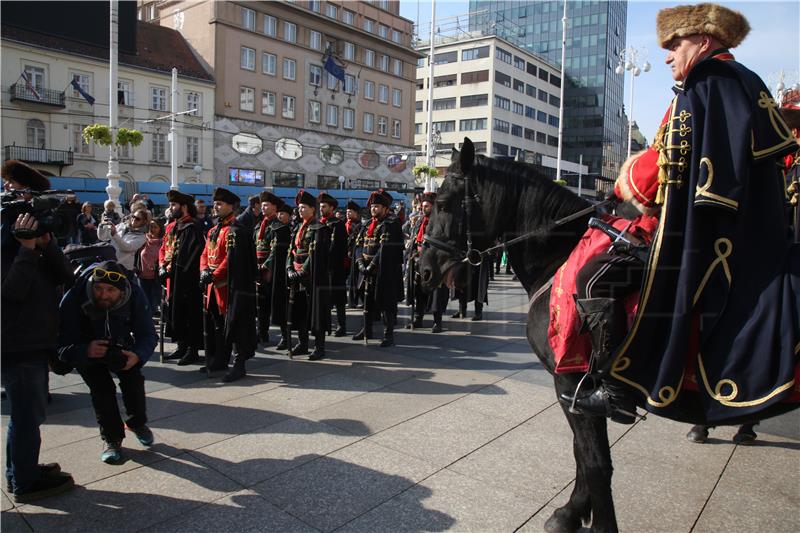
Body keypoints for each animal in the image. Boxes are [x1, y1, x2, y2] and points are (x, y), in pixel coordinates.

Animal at [418, 138, 792, 532]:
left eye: (443, 203)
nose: (424, 269)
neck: (560, 255)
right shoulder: (575, 393)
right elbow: (582, 454)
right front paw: (572, 511)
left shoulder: (572, 384)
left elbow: (594, 462)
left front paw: (588, 518)